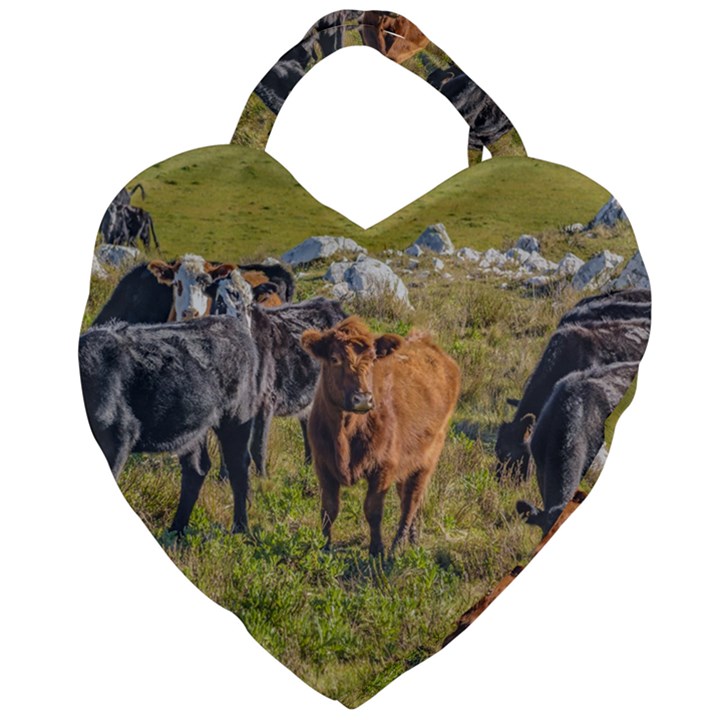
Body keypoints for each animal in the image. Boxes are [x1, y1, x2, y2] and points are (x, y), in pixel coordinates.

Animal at [80, 316, 260, 536]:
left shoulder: (118, 435)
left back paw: (240, 530)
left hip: (237, 416)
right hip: (193, 429)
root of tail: (229, 321)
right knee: (197, 469)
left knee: (238, 467)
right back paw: (177, 531)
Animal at [300, 316, 458, 556]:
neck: (345, 431)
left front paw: (377, 550)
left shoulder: (384, 467)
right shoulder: (322, 464)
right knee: (407, 497)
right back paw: (412, 541)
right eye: (335, 359)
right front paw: (324, 547)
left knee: (411, 501)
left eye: (373, 359)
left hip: (428, 457)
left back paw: (397, 547)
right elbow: (329, 508)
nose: (363, 399)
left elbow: (372, 510)